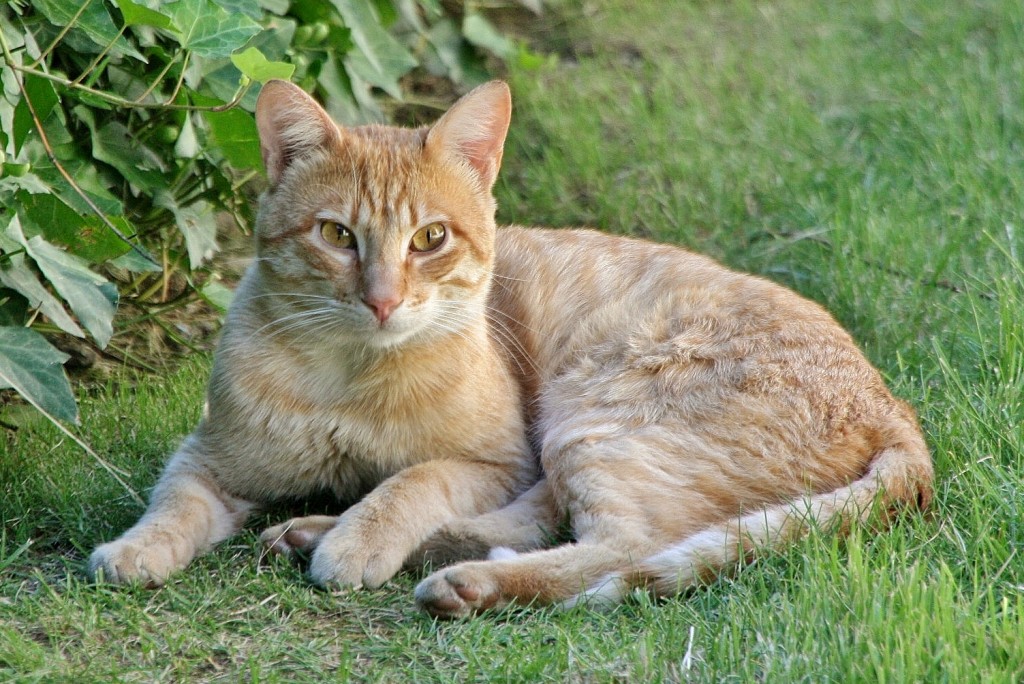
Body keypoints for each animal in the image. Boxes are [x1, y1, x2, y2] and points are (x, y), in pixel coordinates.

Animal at [90, 77, 937, 618]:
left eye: (430, 239)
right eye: (335, 235)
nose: (383, 299)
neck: (351, 375)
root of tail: (892, 407)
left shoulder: (496, 459)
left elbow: (412, 482)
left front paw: (360, 538)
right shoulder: (209, 456)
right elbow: (172, 503)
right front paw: (136, 550)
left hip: (592, 412)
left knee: (620, 547)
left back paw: (452, 577)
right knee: (566, 524)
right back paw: (335, 535)